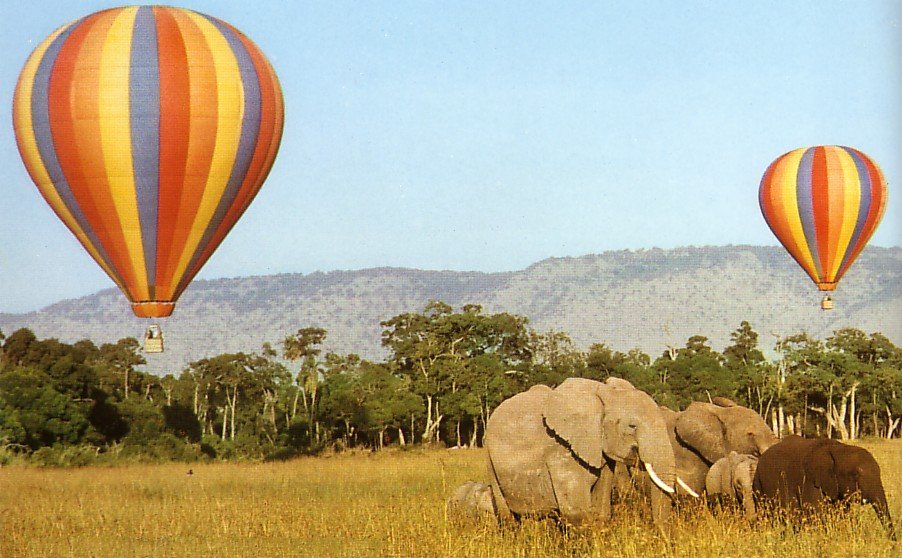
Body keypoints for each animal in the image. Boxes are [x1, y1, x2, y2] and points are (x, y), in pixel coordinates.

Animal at [484, 377, 690, 528]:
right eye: (632, 426)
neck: (605, 394)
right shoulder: (561, 449)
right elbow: (577, 513)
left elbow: (601, 510)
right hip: (490, 461)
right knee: (508, 518)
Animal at [753, 435, 896, 540]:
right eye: (855, 474)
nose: (893, 542)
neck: (838, 449)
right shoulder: (810, 480)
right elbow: (815, 514)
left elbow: (842, 514)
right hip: (758, 485)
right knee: (763, 514)